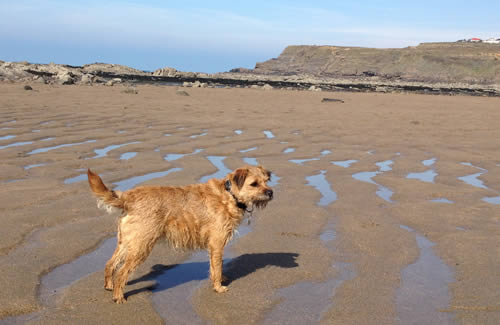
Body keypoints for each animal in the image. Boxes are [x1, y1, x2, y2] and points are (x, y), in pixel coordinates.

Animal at [87, 166, 274, 302]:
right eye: (254, 184)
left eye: (266, 181)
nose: (270, 192)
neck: (229, 195)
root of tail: (128, 197)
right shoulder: (217, 243)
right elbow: (217, 266)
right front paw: (218, 286)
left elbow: (214, 267)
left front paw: (219, 279)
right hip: (141, 246)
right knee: (121, 272)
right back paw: (119, 296)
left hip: (127, 242)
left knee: (110, 264)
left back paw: (109, 285)